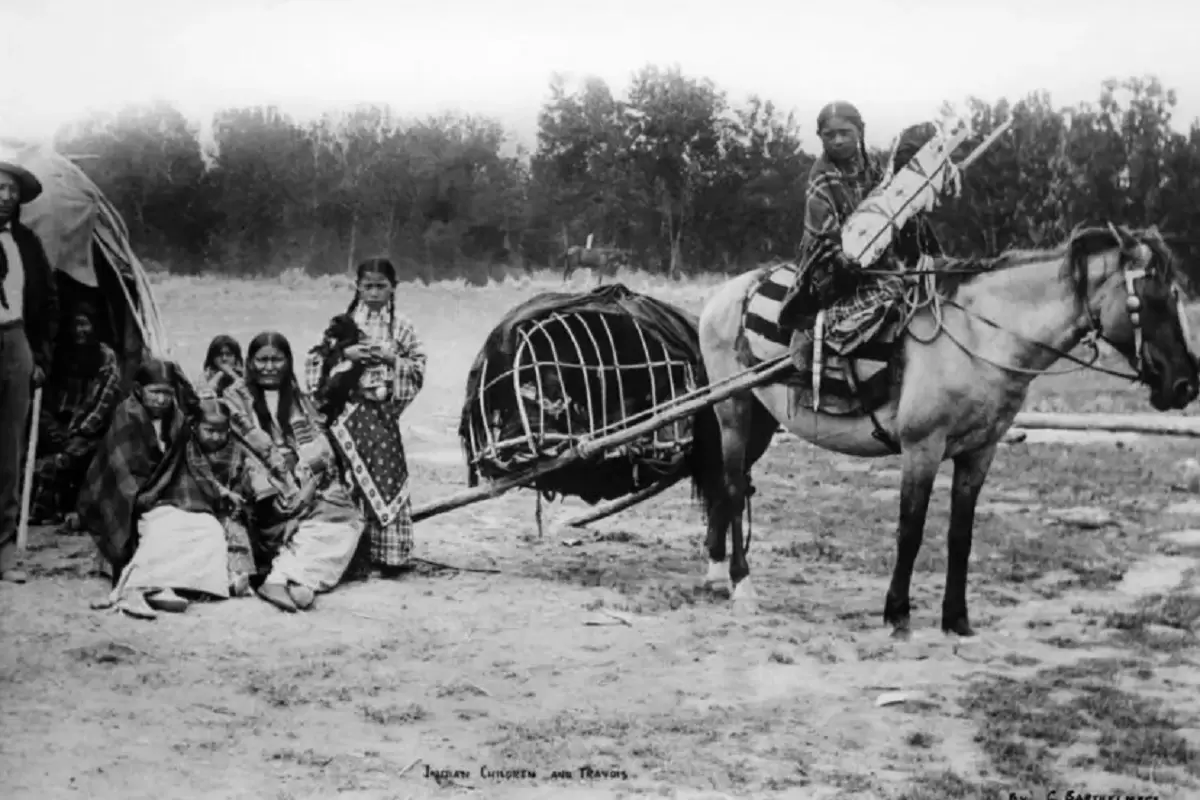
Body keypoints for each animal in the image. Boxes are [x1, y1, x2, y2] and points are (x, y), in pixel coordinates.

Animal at [696, 224, 1200, 638]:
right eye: (1150, 298)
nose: (1185, 384)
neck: (980, 338)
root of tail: (723, 295)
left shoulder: (979, 452)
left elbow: (961, 535)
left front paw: (956, 617)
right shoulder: (922, 447)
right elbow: (911, 529)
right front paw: (897, 612)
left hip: (762, 419)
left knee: (726, 486)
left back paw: (715, 571)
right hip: (733, 410)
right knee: (734, 488)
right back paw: (741, 583)